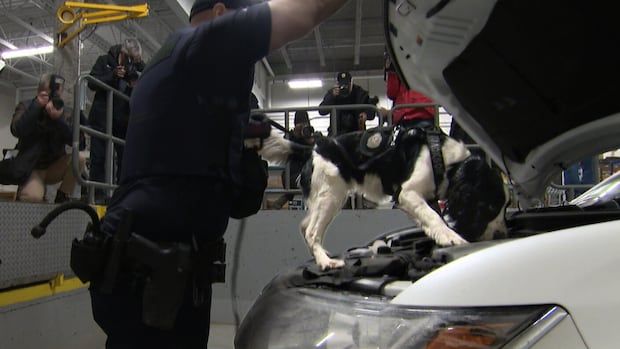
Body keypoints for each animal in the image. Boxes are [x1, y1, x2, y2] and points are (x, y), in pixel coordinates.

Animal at [252, 125, 508, 270]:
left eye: (506, 207)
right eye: (489, 207)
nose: (502, 235)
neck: (444, 159)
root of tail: (312, 149)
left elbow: (429, 217)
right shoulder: (407, 193)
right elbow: (434, 217)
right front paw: (451, 237)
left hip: (327, 199)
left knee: (305, 226)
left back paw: (320, 256)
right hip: (330, 196)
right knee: (312, 231)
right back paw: (326, 262)